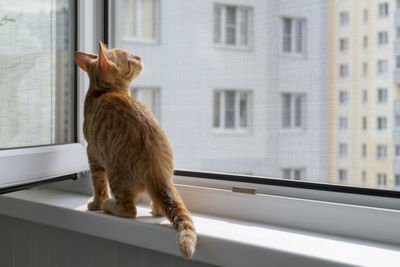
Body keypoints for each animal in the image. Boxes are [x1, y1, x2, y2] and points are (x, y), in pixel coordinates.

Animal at [74, 42, 197, 260]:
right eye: (130, 56)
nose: (139, 56)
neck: (101, 92)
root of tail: (158, 171)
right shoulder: (93, 153)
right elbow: (99, 184)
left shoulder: (93, 154)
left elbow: (99, 186)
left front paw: (96, 203)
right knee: (159, 206)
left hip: (115, 174)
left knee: (128, 210)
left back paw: (107, 205)